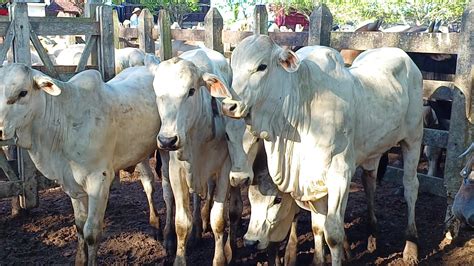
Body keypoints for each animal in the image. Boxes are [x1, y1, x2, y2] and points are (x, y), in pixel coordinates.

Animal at [0, 64, 161, 264]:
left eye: (23, 92)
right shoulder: (72, 185)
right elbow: (79, 227)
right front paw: (79, 260)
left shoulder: (99, 181)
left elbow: (91, 233)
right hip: (140, 153)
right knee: (148, 182)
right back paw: (154, 222)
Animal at [146, 48, 244, 266]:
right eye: (157, 93)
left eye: (191, 91)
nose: (167, 140)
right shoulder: (177, 170)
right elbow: (182, 222)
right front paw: (179, 257)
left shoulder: (224, 168)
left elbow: (219, 220)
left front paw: (219, 259)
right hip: (166, 164)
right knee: (169, 197)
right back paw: (174, 236)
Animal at [206, 34, 422, 264]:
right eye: (233, 67)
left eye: (262, 66)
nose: (229, 106)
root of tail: (402, 55)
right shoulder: (311, 179)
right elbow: (318, 227)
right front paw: (318, 260)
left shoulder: (339, 176)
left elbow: (333, 235)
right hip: (373, 149)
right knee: (370, 181)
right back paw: (372, 234)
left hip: (413, 139)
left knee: (411, 186)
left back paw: (411, 246)